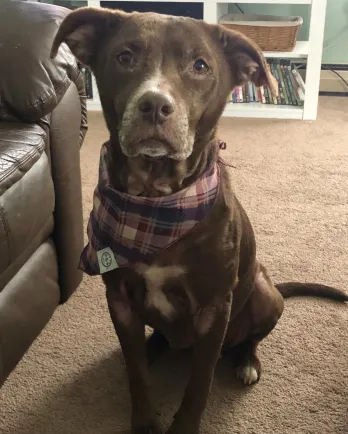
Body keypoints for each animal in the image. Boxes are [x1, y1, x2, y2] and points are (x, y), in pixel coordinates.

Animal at [50, 7, 346, 434]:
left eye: (200, 65)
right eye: (125, 57)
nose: (155, 105)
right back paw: (153, 347)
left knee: (249, 340)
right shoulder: (119, 300)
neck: (157, 201)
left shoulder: (213, 308)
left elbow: (199, 383)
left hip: (264, 293)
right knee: (151, 345)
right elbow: (136, 374)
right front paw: (145, 421)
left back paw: (246, 363)